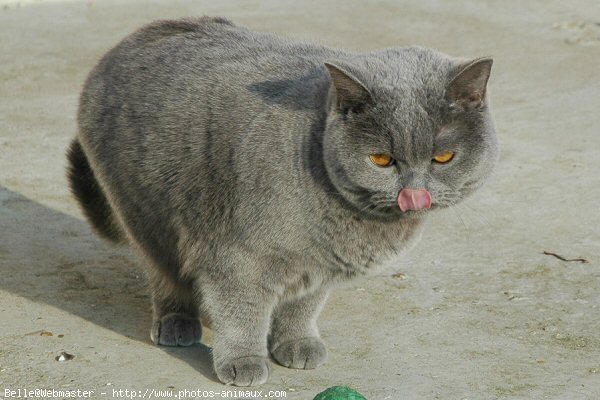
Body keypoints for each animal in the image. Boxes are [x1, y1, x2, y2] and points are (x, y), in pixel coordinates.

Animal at [65, 17, 500, 386]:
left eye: (443, 158)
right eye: (381, 159)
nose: (414, 195)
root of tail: (139, 33)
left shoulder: (320, 265)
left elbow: (302, 307)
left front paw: (296, 345)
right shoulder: (236, 256)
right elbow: (241, 310)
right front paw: (243, 361)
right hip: (146, 216)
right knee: (166, 274)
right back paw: (177, 323)